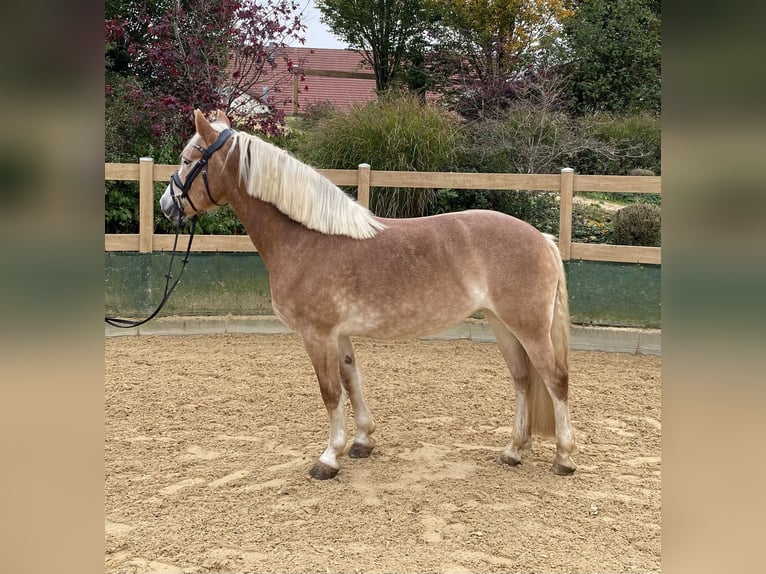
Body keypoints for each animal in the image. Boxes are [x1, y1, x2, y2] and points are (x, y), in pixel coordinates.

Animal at [159, 110, 576, 480]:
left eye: (188, 160)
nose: (165, 205)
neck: (307, 238)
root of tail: (542, 238)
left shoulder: (317, 335)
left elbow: (329, 392)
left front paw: (329, 457)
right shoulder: (339, 336)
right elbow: (351, 381)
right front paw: (361, 441)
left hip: (529, 328)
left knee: (555, 379)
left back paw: (564, 458)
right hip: (503, 325)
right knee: (523, 380)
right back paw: (513, 450)